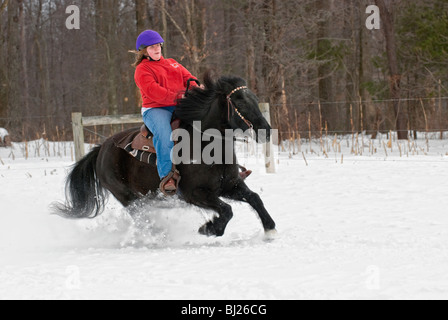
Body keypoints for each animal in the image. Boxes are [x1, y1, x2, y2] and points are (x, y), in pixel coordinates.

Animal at [56, 73, 276, 238]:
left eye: (255, 100)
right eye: (239, 102)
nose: (266, 131)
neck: (207, 145)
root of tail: (101, 148)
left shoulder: (229, 185)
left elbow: (255, 198)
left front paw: (270, 229)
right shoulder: (194, 193)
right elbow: (226, 210)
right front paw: (208, 228)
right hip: (128, 197)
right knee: (141, 218)